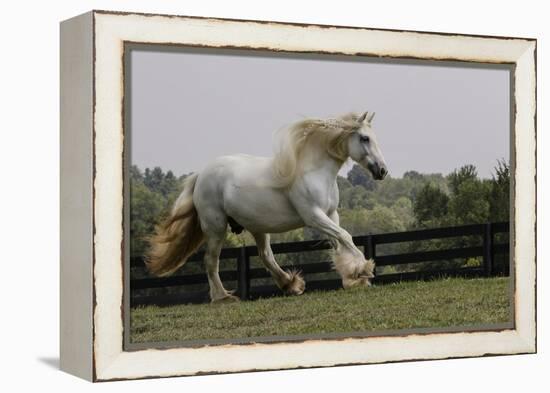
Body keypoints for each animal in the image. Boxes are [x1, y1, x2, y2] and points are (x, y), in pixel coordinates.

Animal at [147, 112, 388, 302]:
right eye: (365, 138)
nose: (383, 171)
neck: (314, 171)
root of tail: (201, 175)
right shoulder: (314, 217)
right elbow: (345, 237)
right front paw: (363, 270)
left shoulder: (331, 215)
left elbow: (340, 243)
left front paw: (352, 277)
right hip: (216, 228)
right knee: (211, 260)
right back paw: (222, 297)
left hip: (258, 227)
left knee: (266, 256)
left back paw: (291, 284)